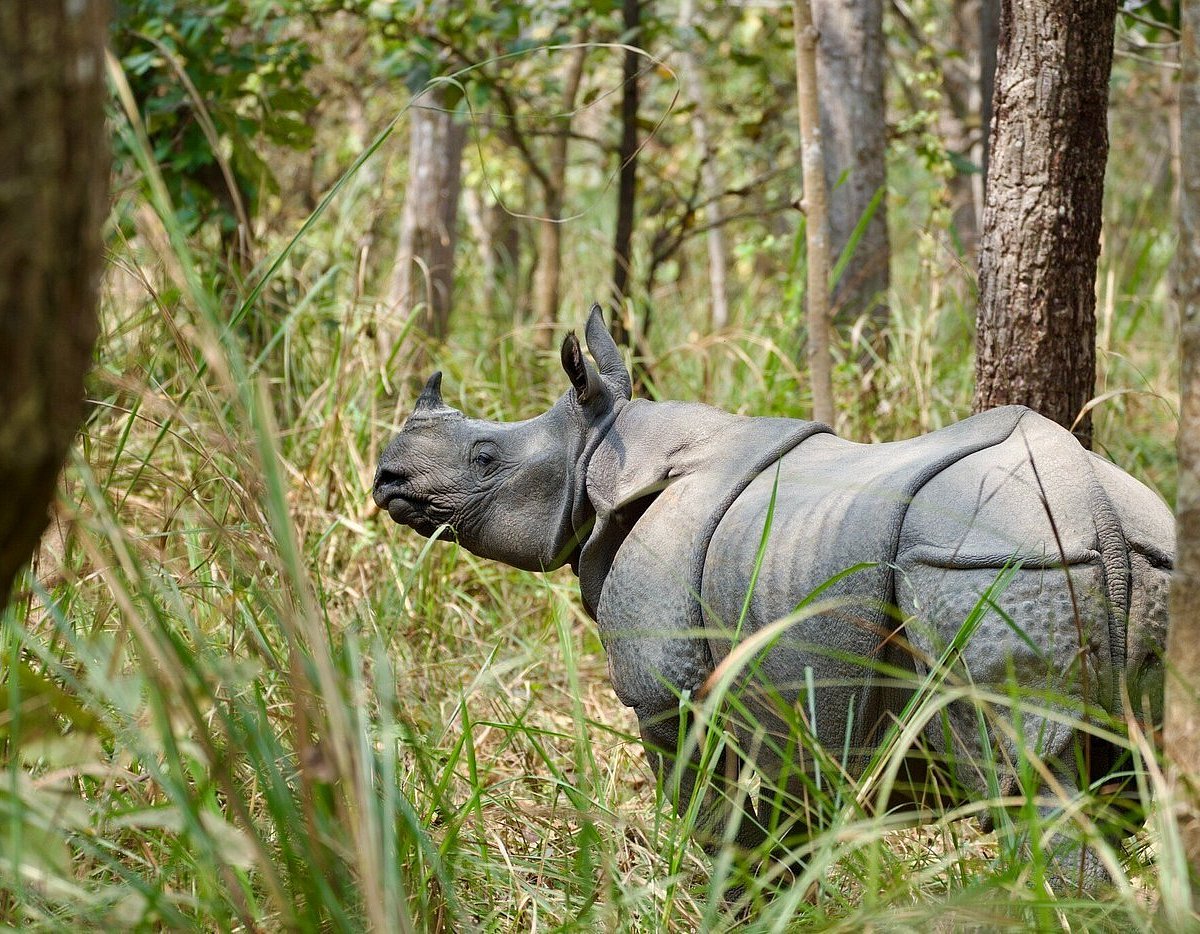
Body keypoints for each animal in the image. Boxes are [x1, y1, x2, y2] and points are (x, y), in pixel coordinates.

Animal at [373, 306, 1173, 881]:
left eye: (485, 457)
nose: (386, 477)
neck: (602, 450)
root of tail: (1094, 504)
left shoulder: (668, 689)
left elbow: (708, 805)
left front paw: (735, 897)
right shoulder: (781, 685)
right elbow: (789, 810)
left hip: (992, 560)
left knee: (1024, 781)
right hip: (1142, 556)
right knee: (1124, 778)